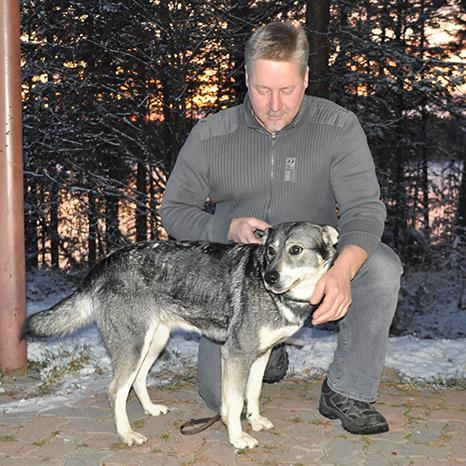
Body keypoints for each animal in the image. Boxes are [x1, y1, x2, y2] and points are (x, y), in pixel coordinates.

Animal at [20, 221, 338, 448]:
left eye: (295, 250)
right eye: (270, 250)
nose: (269, 277)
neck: (285, 299)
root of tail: (105, 262)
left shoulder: (259, 356)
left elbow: (253, 394)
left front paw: (254, 421)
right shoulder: (236, 355)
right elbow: (234, 402)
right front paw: (237, 437)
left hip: (154, 342)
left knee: (137, 380)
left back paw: (150, 410)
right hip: (134, 346)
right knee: (116, 391)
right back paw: (126, 434)